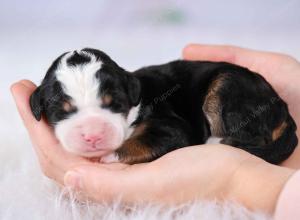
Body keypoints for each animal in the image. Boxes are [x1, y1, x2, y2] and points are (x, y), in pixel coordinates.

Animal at [29, 48, 296, 165]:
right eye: (62, 111)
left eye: (114, 104)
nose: (93, 136)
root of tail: (281, 105)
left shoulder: (172, 127)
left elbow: (145, 141)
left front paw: (110, 155)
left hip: (228, 87)